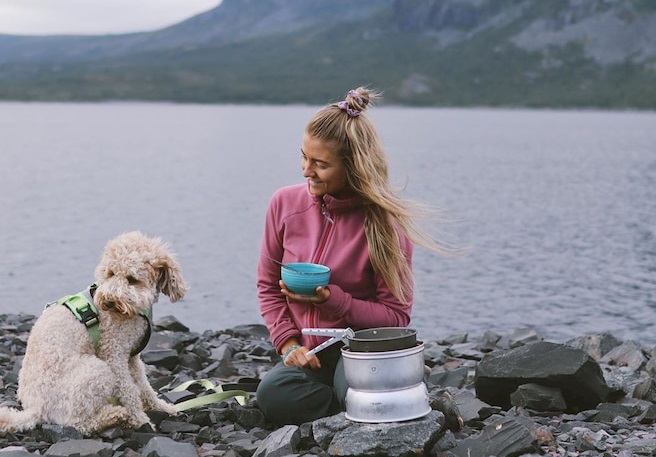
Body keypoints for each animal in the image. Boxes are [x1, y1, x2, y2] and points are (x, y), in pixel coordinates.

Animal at [0, 232, 187, 434]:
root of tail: (35, 408)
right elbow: (129, 390)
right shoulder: (113, 355)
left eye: (132, 279)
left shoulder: (132, 357)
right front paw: (140, 420)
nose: (109, 301)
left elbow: (144, 386)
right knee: (78, 422)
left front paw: (162, 408)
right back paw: (115, 415)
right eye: (111, 273)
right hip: (96, 371)